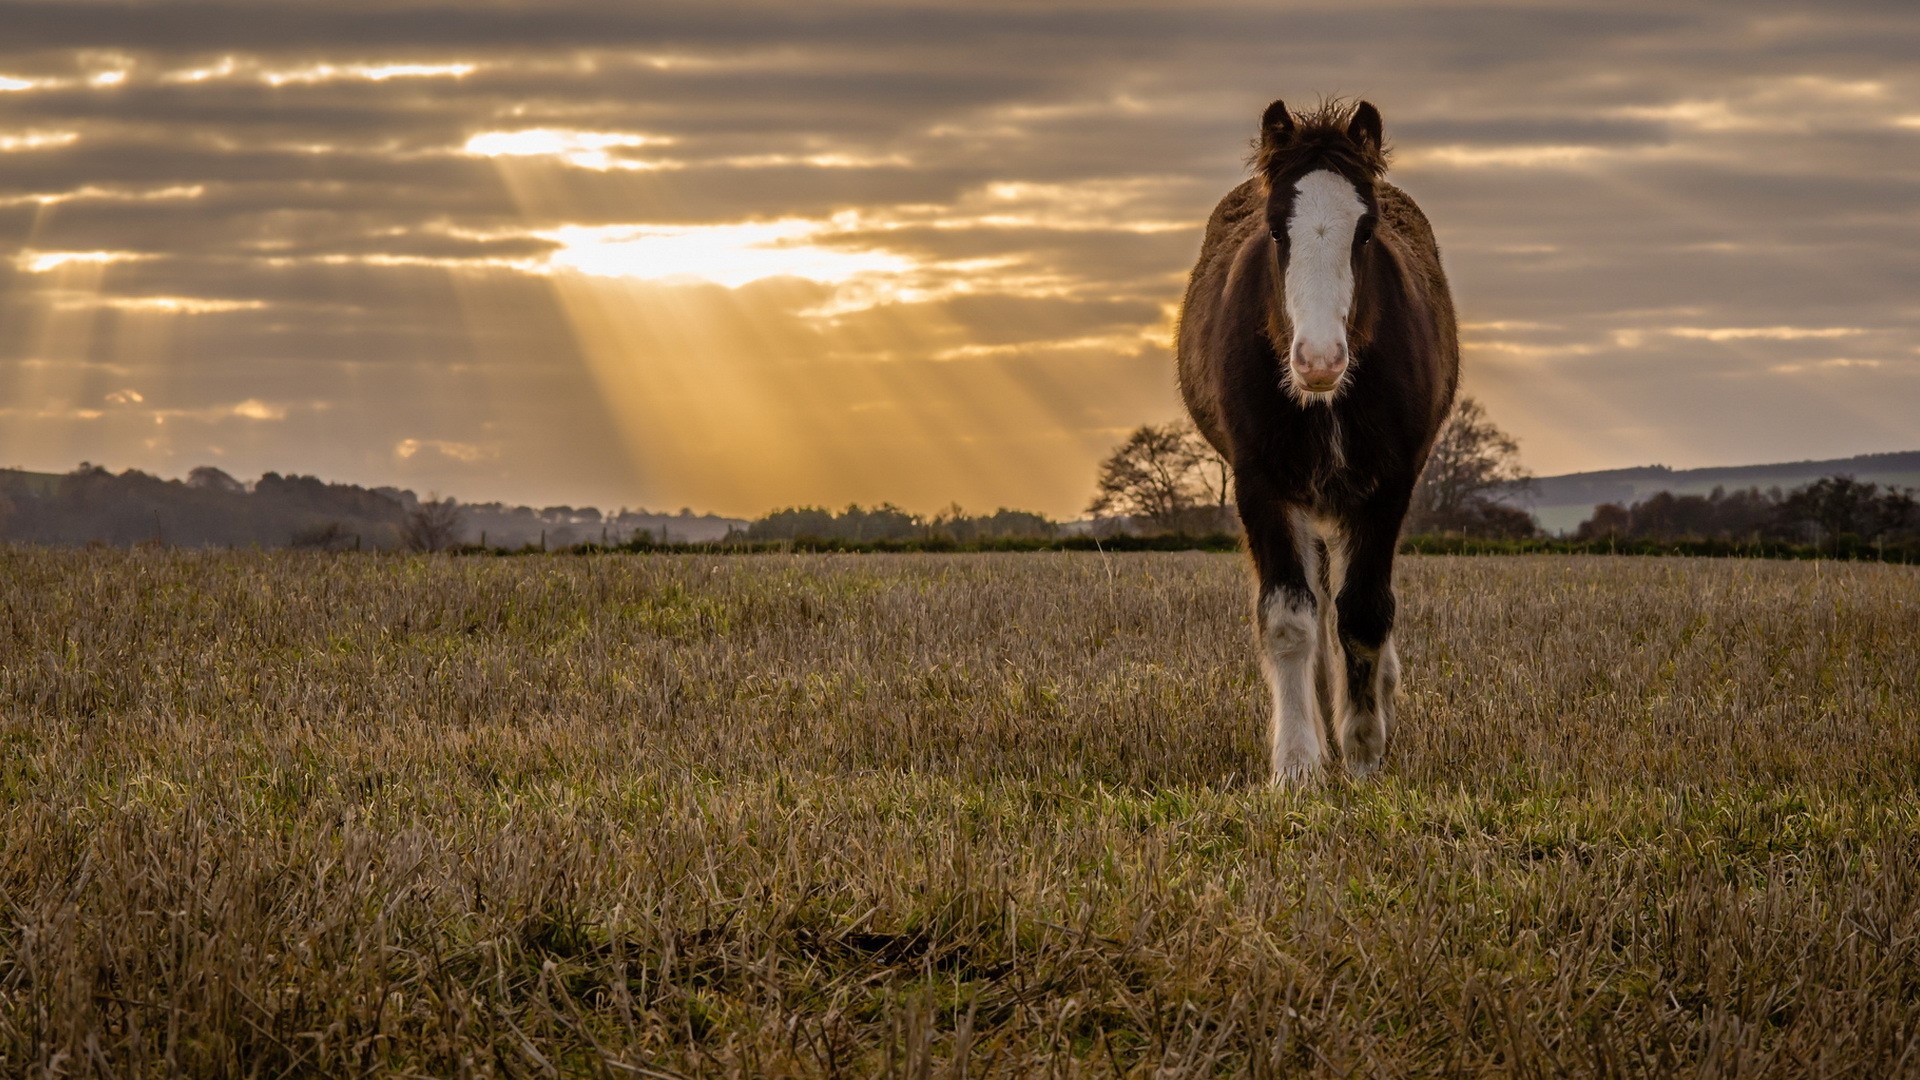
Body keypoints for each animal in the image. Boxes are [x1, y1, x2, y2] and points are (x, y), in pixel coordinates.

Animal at [1176, 98, 1459, 784]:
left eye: (1366, 232)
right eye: (1278, 231)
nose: (1319, 360)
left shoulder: (1388, 485)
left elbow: (1363, 614)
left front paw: (1363, 753)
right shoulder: (1260, 484)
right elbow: (1290, 621)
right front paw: (1299, 765)